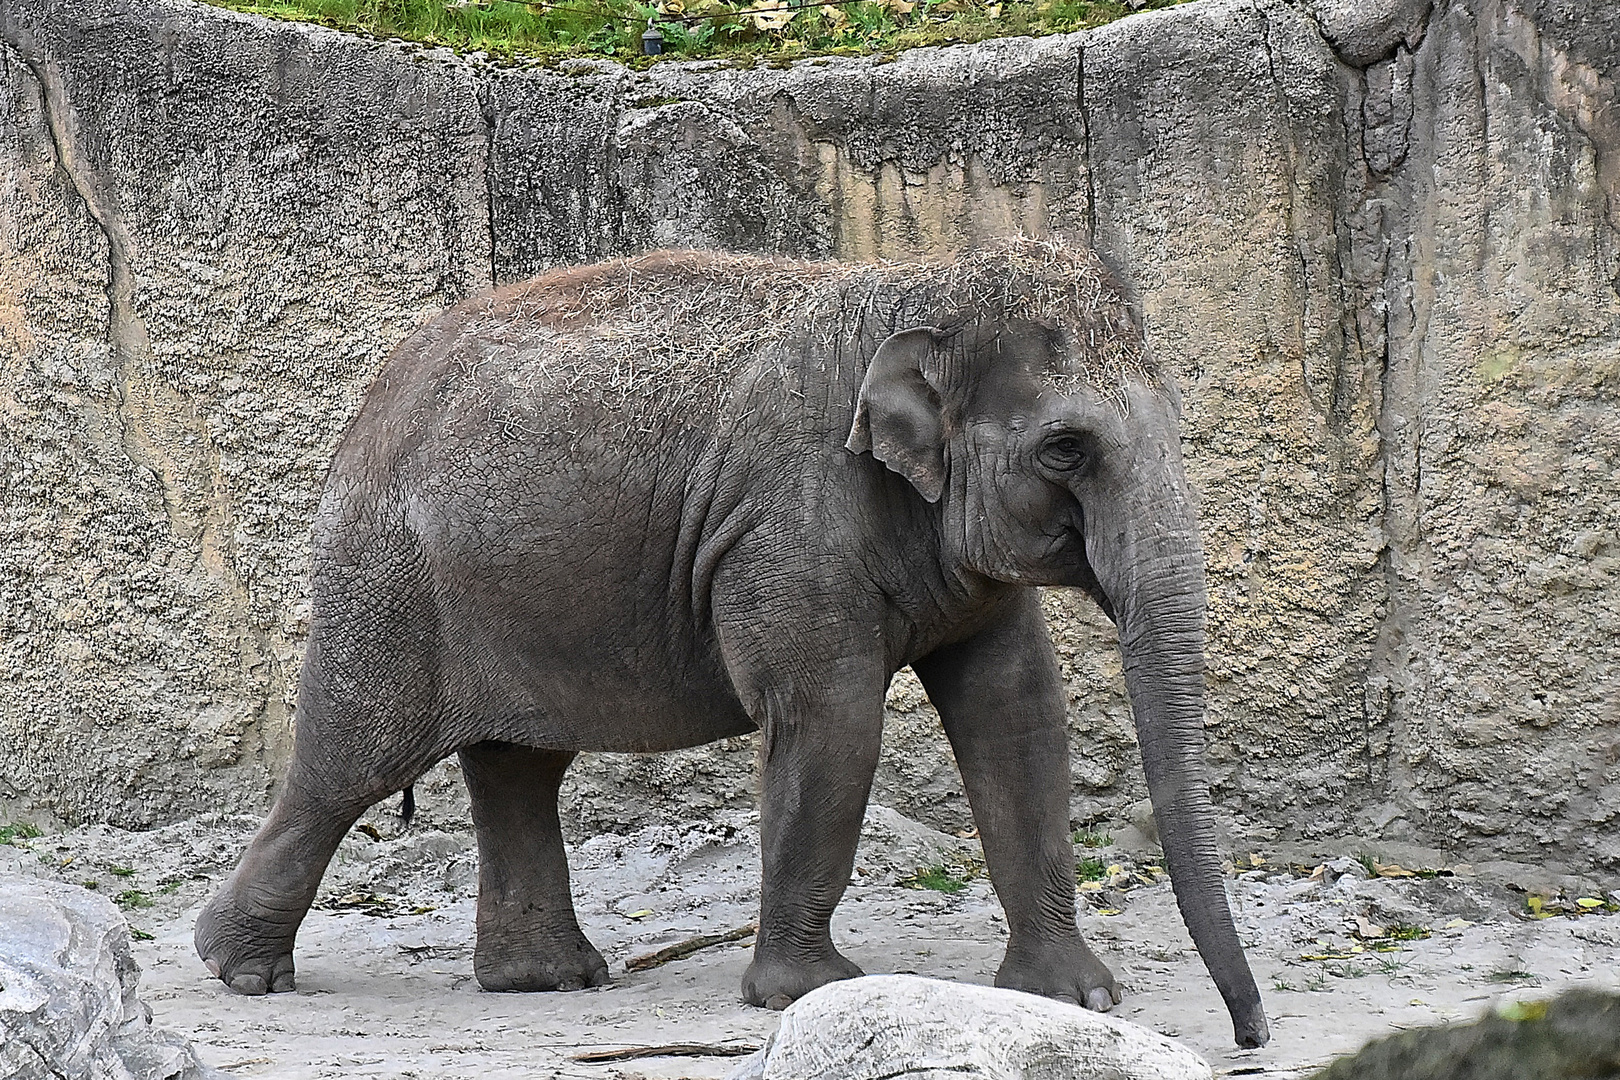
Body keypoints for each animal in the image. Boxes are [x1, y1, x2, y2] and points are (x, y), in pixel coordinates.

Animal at [196, 236, 1270, 1049]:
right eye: (1065, 451)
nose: (1251, 1036)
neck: (924, 283)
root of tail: (369, 403)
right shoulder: (786, 525)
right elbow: (831, 719)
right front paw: (804, 992)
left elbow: (1017, 717)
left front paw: (1078, 996)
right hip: (389, 575)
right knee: (352, 764)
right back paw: (235, 968)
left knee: (518, 766)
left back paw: (548, 980)